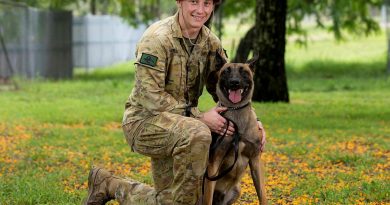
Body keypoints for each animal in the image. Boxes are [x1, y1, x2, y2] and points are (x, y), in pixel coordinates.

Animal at [203, 52, 266, 205]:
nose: (234, 82)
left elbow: (262, 195)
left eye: (244, 72)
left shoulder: (256, 160)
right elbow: (207, 199)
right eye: (226, 71)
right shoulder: (214, 163)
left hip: (236, 191)